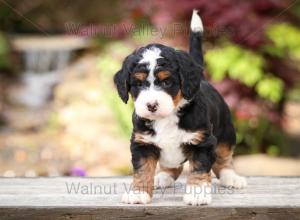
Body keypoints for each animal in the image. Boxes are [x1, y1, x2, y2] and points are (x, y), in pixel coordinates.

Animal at [113, 9, 246, 206]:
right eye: (137, 84)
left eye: (166, 82)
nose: (151, 105)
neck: (167, 117)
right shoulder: (142, 143)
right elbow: (142, 170)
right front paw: (138, 193)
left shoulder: (202, 142)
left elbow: (198, 170)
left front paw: (197, 194)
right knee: (172, 167)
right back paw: (162, 177)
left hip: (226, 133)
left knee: (224, 158)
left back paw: (232, 178)